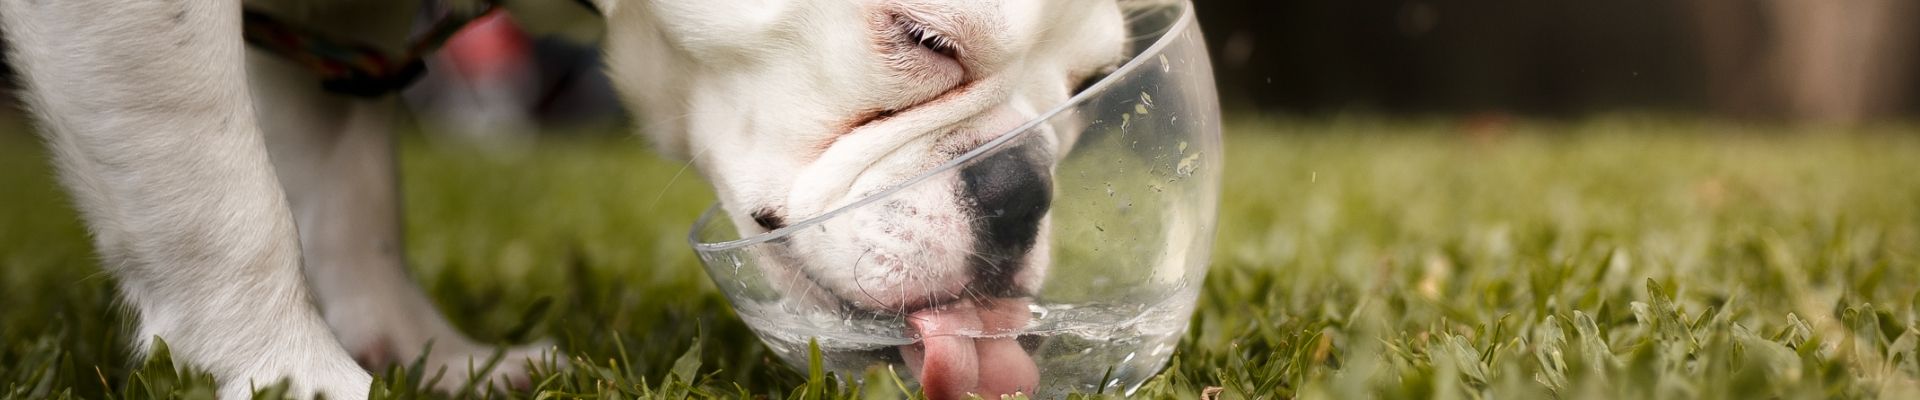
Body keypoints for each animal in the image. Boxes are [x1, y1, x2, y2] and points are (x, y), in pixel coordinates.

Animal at [0, 0, 1136, 398]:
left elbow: (351, 193)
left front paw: (425, 352)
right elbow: (219, 199)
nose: (1022, 188)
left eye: (1086, 87)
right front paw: (292, 376)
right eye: (924, 39)